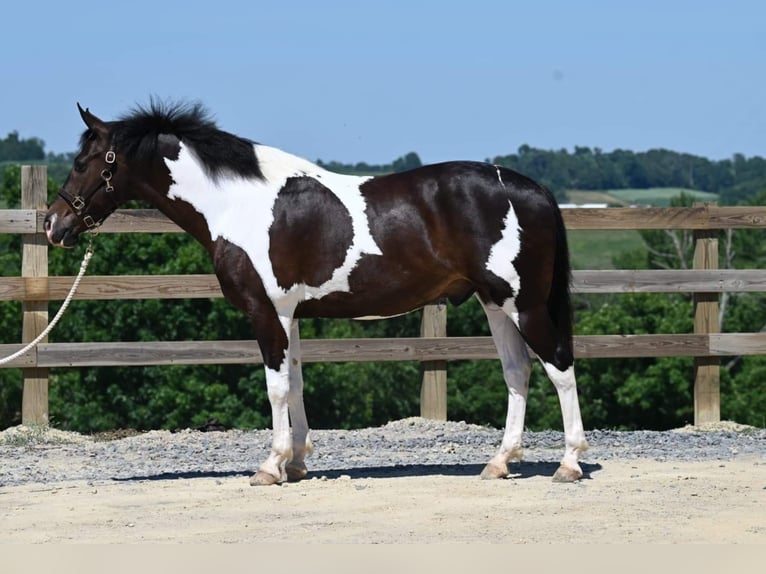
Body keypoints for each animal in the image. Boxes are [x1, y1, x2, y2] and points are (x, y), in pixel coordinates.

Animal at [45, 100, 592, 486]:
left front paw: (270, 466)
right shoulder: (290, 315)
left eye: (83, 161)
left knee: (559, 367)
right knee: (518, 372)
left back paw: (568, 464)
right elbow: (296, 384)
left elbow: (275, 387)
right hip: (495, 303)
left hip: (524, 305)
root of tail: (533, 190)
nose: (53, 225)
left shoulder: (267, 313)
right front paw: (297, 463)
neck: (237, 205)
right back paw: (499, 462)